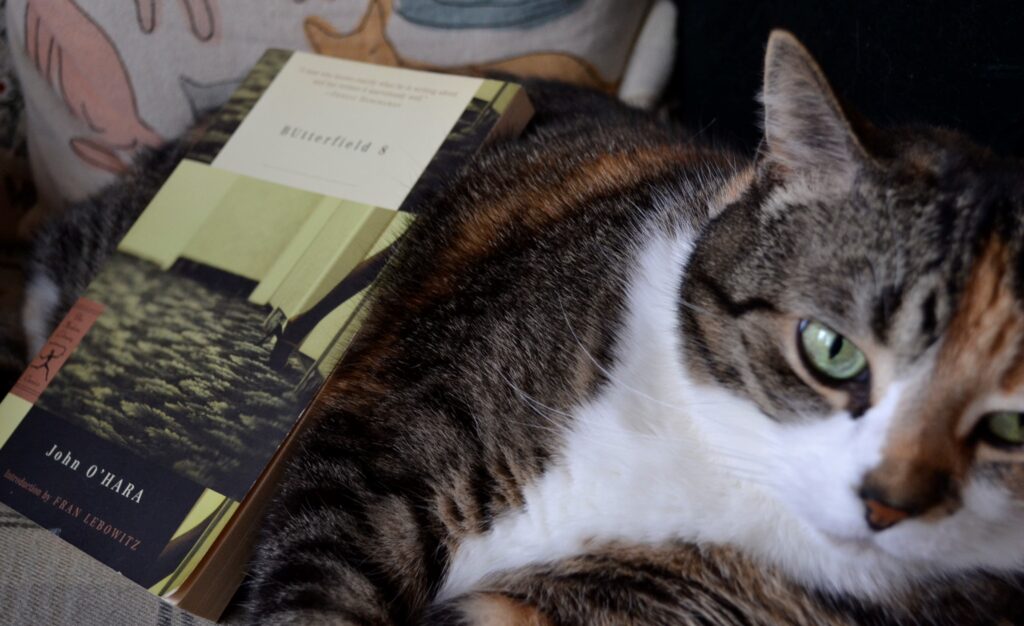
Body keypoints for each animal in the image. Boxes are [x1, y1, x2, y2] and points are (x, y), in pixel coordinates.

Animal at [6, 31, 1024, 622]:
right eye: (832, 349)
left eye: (1010, 426)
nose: (886, 501)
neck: (721, 466)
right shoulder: (387, 439)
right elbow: (323, 584)